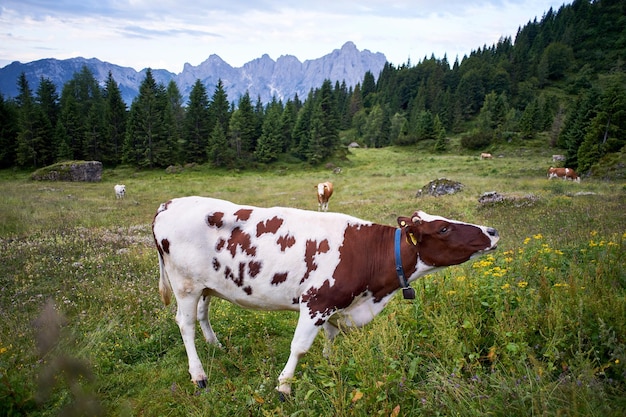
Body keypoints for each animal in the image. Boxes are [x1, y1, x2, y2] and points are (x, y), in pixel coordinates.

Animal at [151, 197, 498, 394]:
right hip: (184, 284)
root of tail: (169, 203)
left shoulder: (337, 304)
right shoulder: (316, 302)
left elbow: (331, 337)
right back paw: (199, 376)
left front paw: (330, 364)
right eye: (443, 229)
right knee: (185, 325)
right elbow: (299, 347)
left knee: (202, 314)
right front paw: (284, 386)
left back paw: (217, 347)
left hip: (207, 284)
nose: (492, 231)